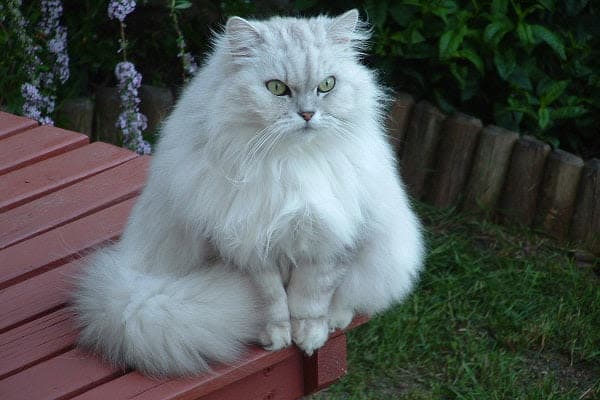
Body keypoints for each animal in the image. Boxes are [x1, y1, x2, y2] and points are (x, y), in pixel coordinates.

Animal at [72, 10, 424, 378]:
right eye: (277, 88)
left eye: (327, 85)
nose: (308, 114)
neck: (289, 163)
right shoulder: (247, 247)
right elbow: (274, 302)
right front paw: (278, 337)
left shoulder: (330, 241)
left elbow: (310, 298)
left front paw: (310, 337)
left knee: (347, 299)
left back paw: (336, 320)